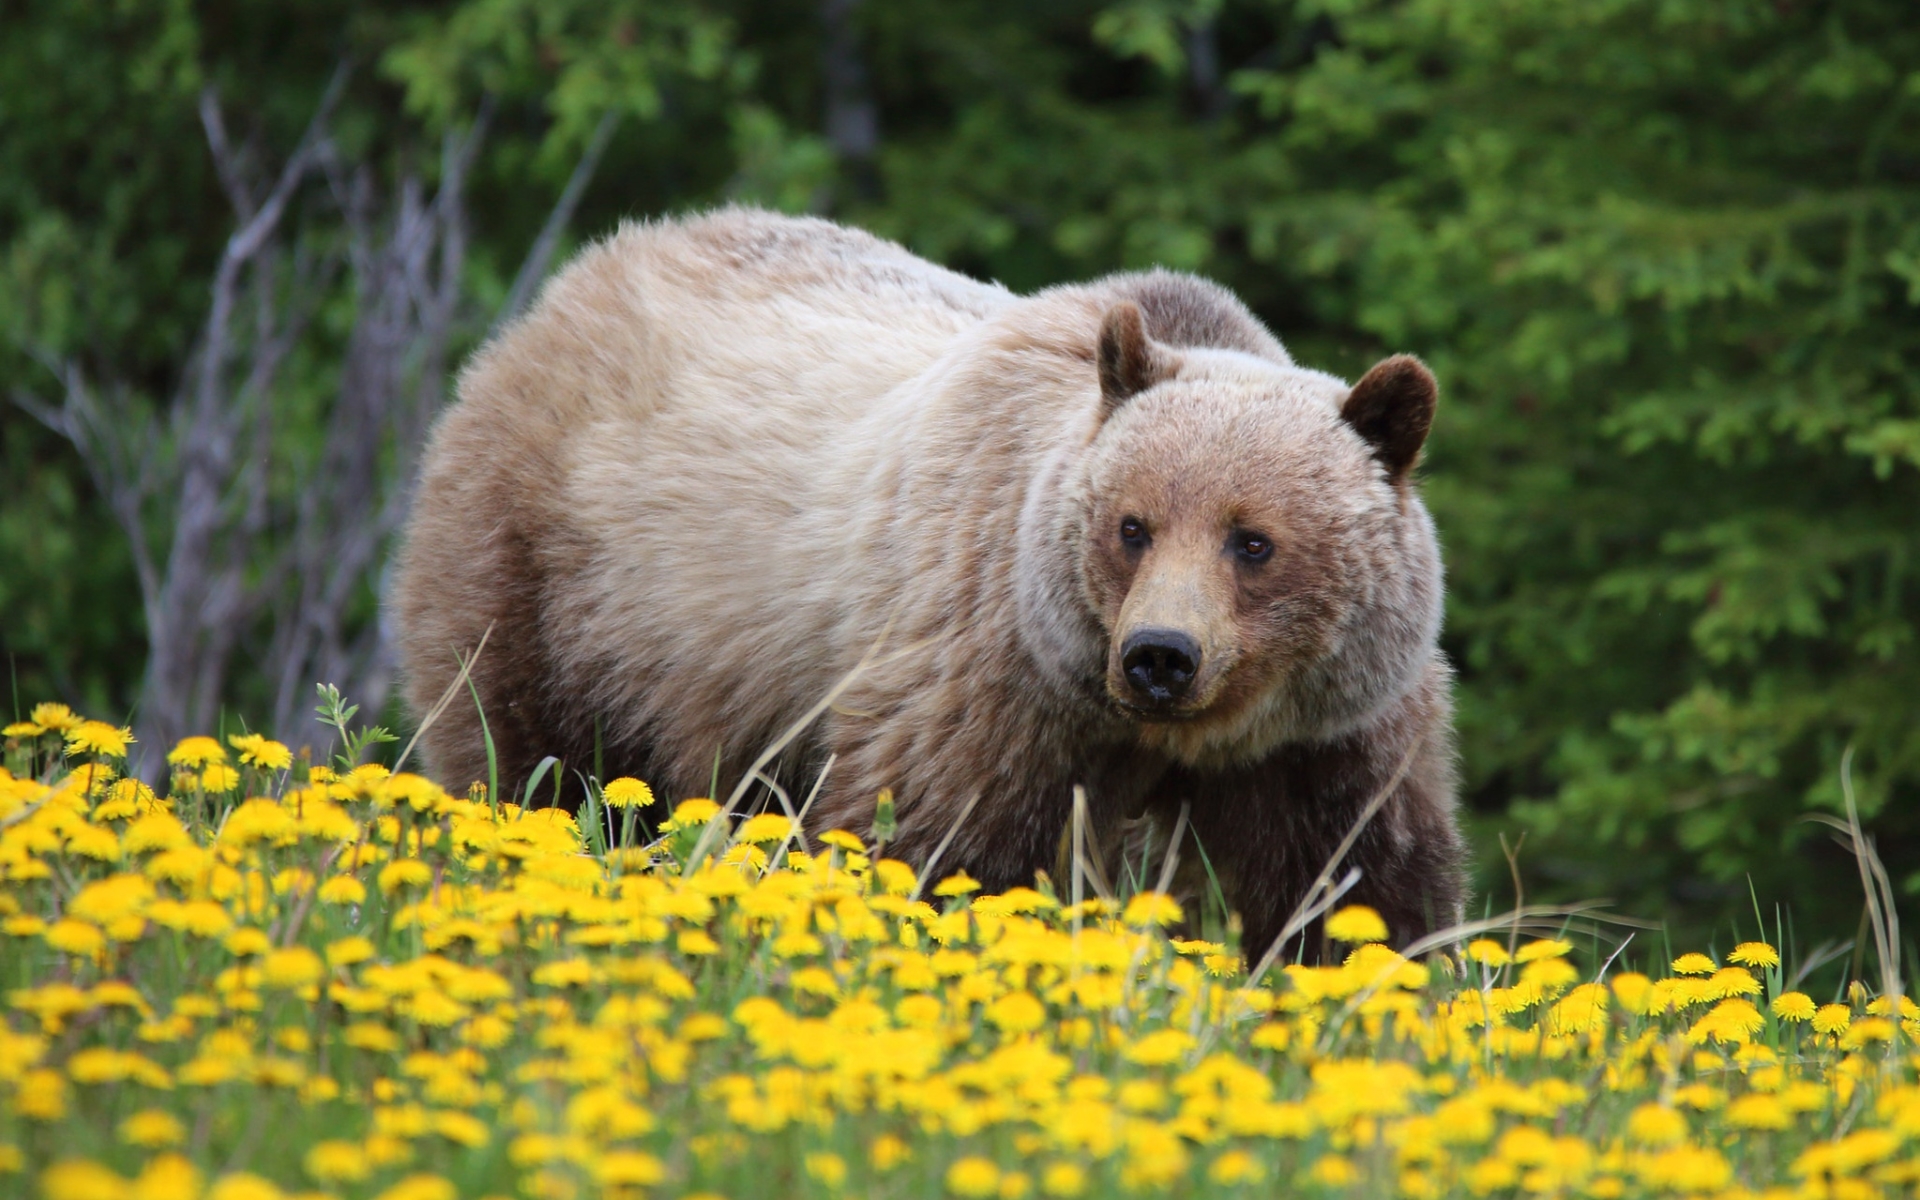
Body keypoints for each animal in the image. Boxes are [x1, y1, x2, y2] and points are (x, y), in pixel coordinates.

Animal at [392, 207, 1465, 958]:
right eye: (1133, 527)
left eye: (1254, 541)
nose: (1161, 656)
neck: (1174, 738)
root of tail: (576, 280)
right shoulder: (993, 668)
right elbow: (931, 844)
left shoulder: (1327, 738)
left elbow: (1357, 888)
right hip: (564, 573)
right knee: (532, 756)